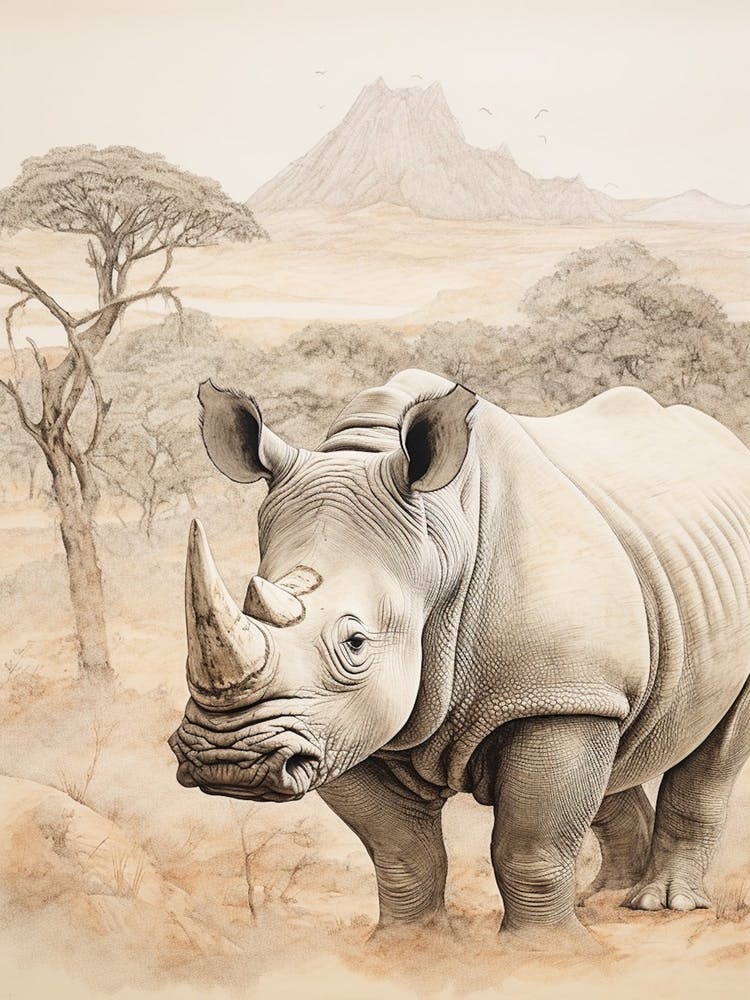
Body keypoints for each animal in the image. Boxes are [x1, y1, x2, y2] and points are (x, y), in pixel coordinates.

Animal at [170, 369, 750, 943]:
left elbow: (530, 845)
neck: (439, 541)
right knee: (618, 747)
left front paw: (545, 952)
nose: (227, 761)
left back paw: (661, 906)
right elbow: (401, 849)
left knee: (709, 757)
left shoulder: (556, 695)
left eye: (355, 643)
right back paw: (605, 900)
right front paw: (409, 947)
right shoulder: (338, 724)